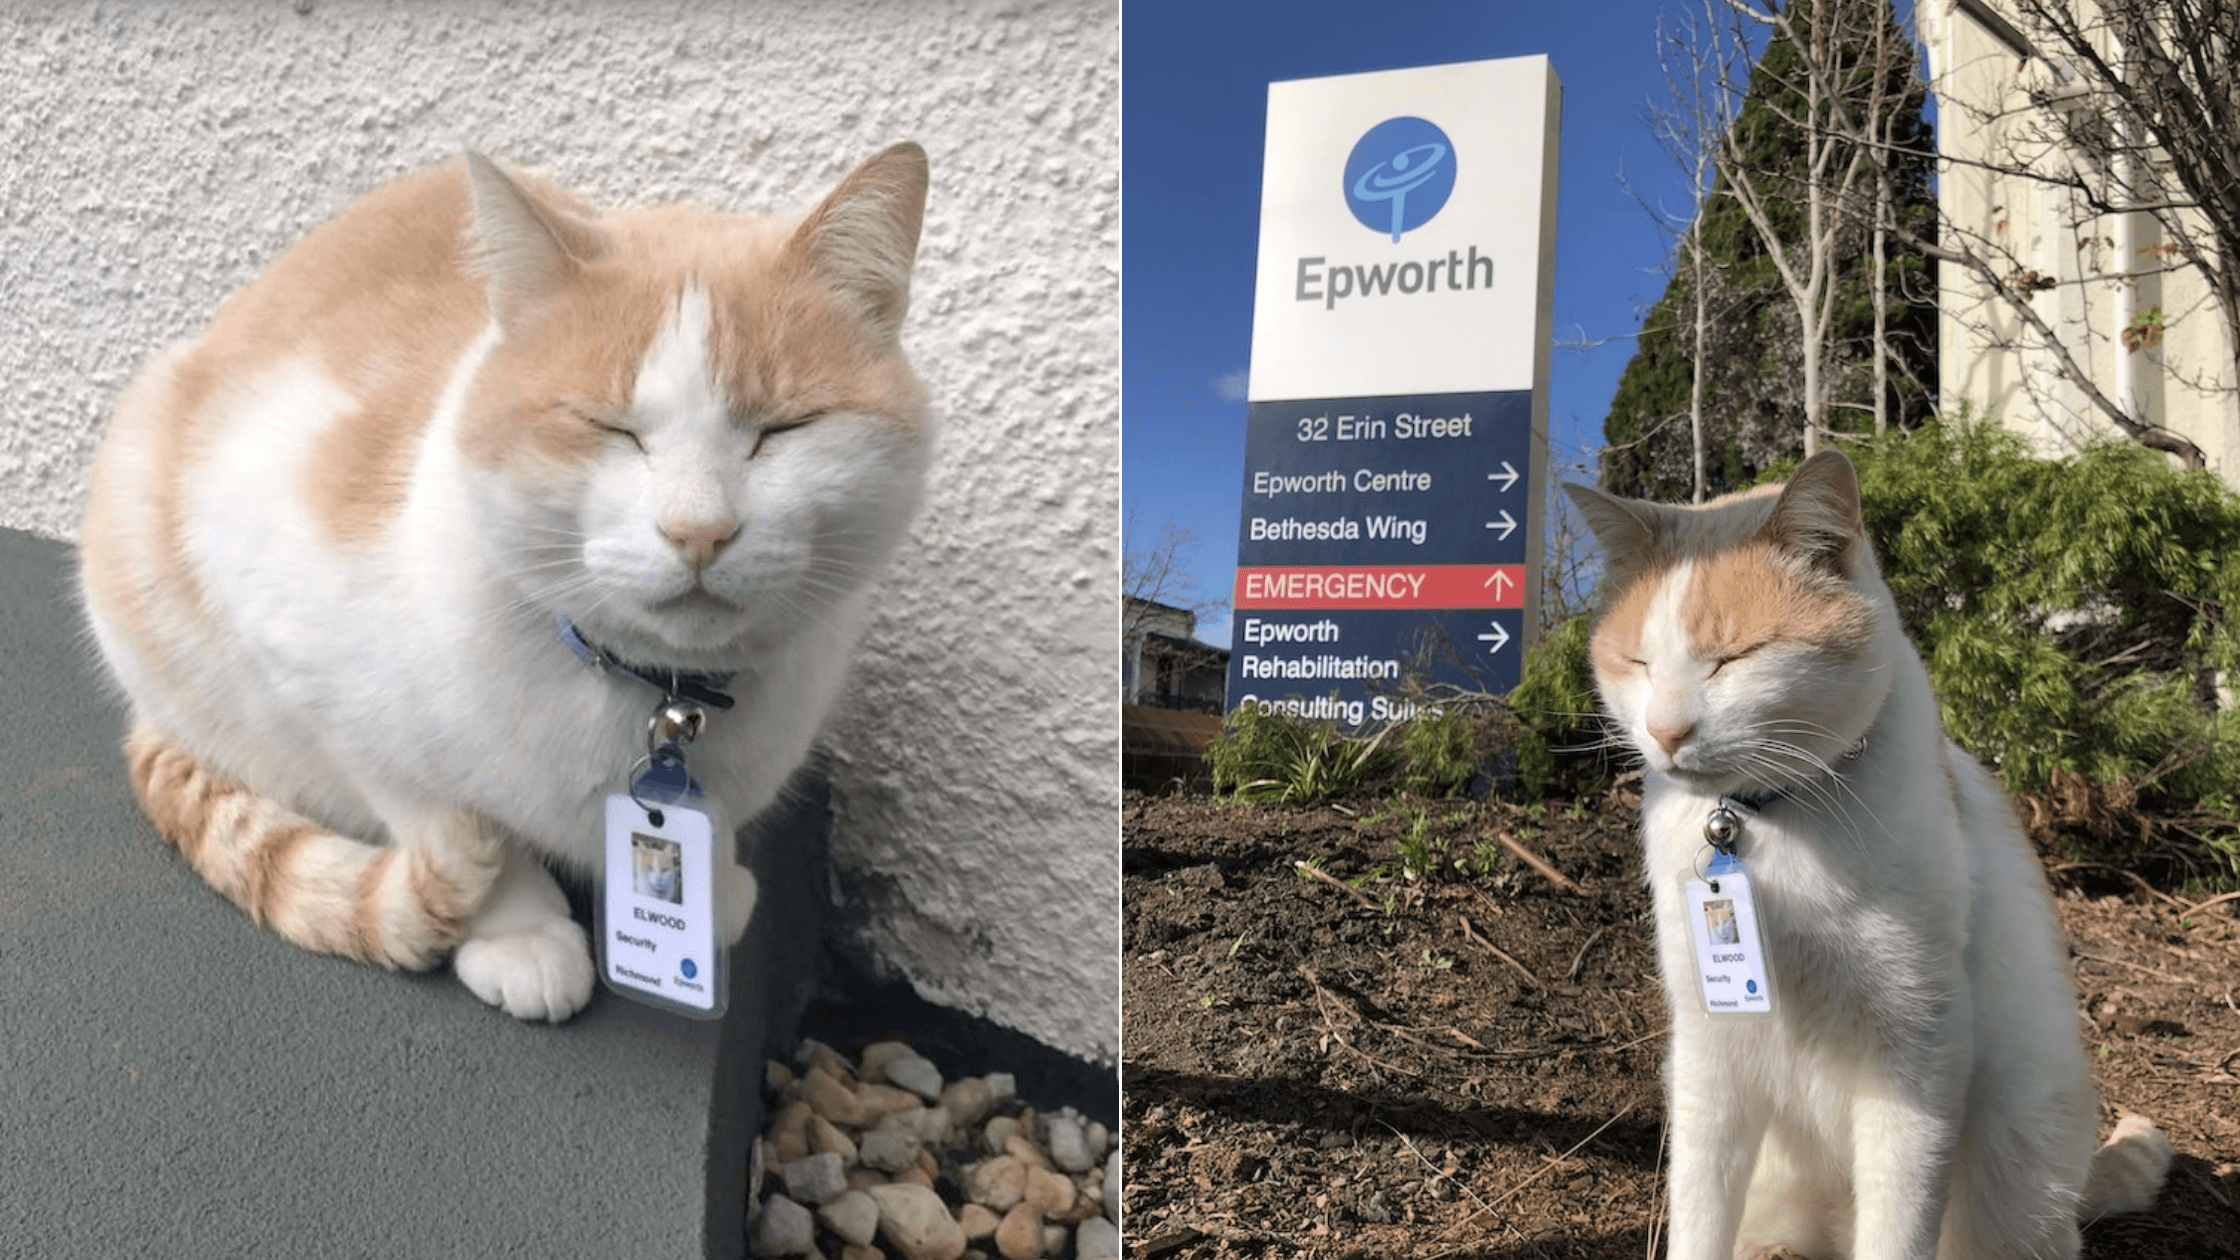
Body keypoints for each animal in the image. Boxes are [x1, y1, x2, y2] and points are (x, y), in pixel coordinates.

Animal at [81, 142, 927, 1013]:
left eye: (785, 430)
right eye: (610, 429)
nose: (698, 530)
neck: (657, 695)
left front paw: (715, 885)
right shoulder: (305, 661)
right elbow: (441, 815)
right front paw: (519, 931)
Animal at [1559, 452, 2168, 1255]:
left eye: (1733, 658)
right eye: (1639, 663)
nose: (1664, 730)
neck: (1770, 825)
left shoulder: (1919, 1056)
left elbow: (1897, 1226)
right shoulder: (1708, 1052)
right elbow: (1698, 1215)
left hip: (2020, 1155)